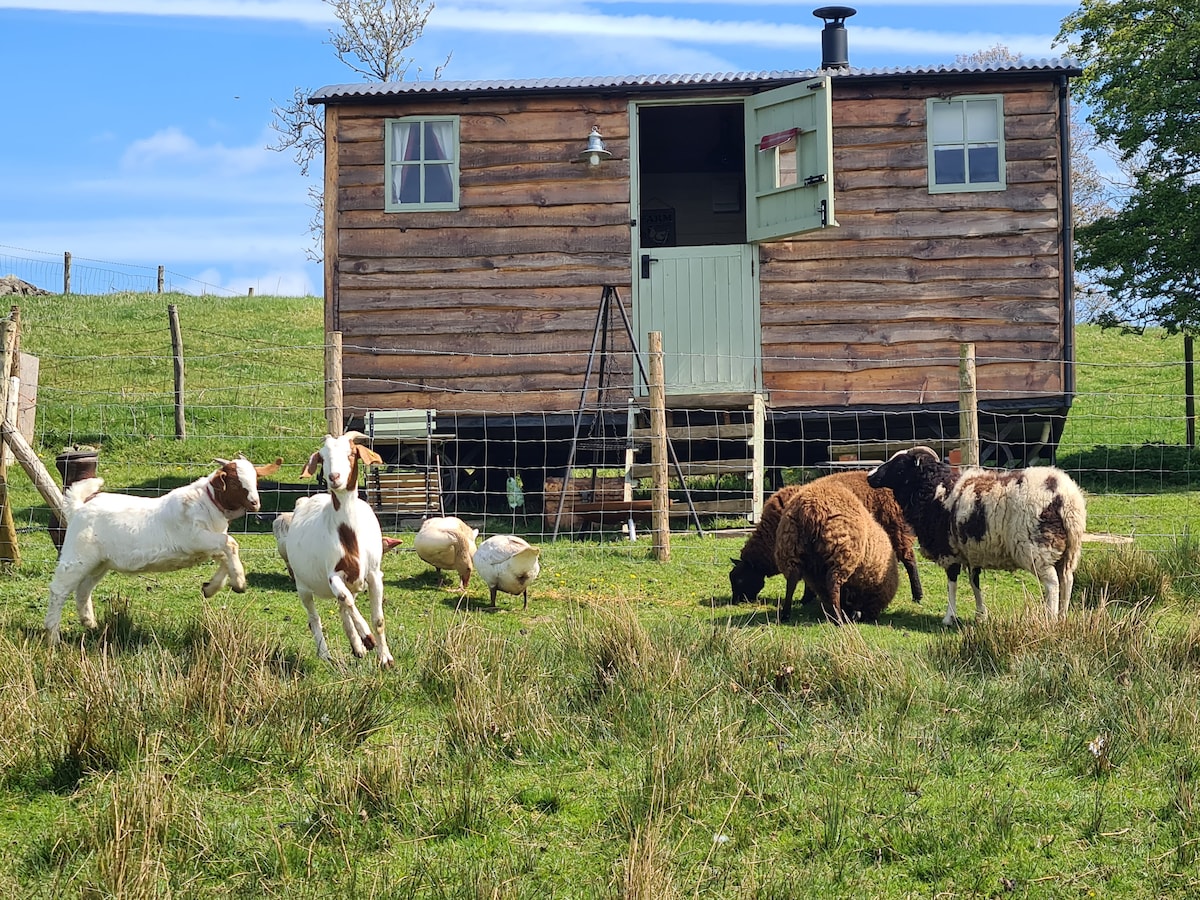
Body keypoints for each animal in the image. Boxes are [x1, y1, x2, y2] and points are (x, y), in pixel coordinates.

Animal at [44, 455, 282, 643]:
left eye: (255, 479)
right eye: (233, 481)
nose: (255, 503)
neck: (206, 503)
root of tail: (80, 507)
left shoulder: (208, 545)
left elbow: (225, 555)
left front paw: (212, 587)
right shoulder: (195, 538)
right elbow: (231, 543)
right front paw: (239, 582)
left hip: (100, 561)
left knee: (84, 588)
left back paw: (89, 622)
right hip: (77, 554)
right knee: (59, 589)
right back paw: (52, 636)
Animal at [280, 432, 394, 667]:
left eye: (351, 453)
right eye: (322, 457)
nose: (334, 477)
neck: (350, 536)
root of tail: (306, 500)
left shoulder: (373, 573)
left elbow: (378, 618)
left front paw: (385, 658)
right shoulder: (333, 574)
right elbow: (346, 600)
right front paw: (367, 638)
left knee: (343, 608)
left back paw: (357, 648)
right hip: (302, 585)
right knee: (316, 618)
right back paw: (327, 653)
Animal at [729, 470, 922, 609]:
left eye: (740, 580)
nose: (735, 602)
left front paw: (805, 599)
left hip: (897, 531)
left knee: (909, 561)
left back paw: (917, 595)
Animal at [772, 480, 899, 623]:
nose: (869, 618)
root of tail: (811, 508)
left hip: (790, 545)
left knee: (791, 580)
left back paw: (785, 615)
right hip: (840, 552)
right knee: (833, 583)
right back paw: (839, 619)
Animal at [866, 446, 1087, 625]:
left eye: (899, 465)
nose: (869, 476)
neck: (936, 489)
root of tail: (1066, 497)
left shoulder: (949, 551)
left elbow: (952, 584)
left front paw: (949, 617)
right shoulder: (972, 551)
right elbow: (974, 583)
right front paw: (981, 614)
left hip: (1037, 548)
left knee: (1053, 584)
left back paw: (1050, 618)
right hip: (1068, 551)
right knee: (1067, 580)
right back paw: (1062, 617)